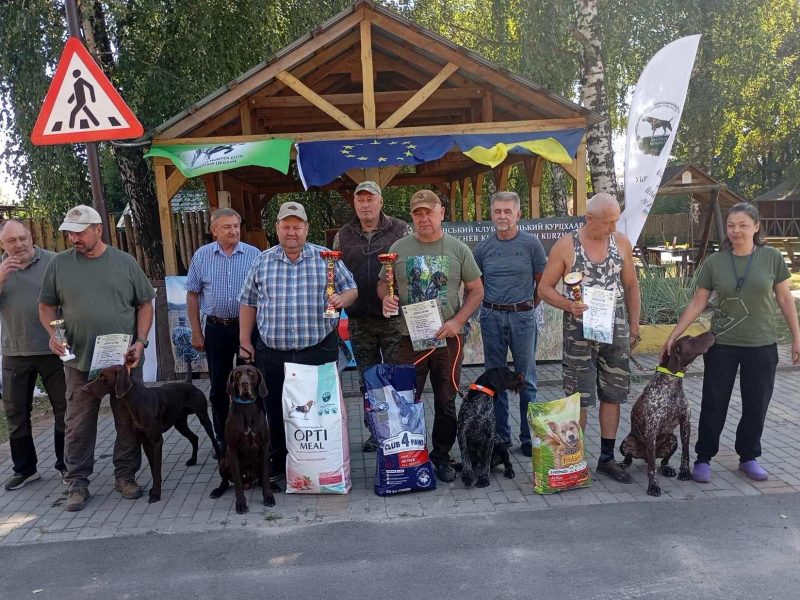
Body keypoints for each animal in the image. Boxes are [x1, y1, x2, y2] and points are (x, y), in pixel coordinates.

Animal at [83, 366, 220, 502]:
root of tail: (189, 383)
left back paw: (219, 457)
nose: (84, 389)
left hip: (203, 417)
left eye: (103, 377)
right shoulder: (145, 442)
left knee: (213, 438)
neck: (138, 401)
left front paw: (156, 494)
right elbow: (153, 468)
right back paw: (193, 460)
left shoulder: (157, 441)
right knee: (194, 438)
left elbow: (157, 469)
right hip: (180, 424)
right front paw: (153, 489)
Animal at [209, 364, 276, 512]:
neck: (247, 406)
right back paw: (217, 491)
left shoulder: (264, 445)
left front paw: (268, 497)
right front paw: (240, 504)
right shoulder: (232, 449)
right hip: (224, 461)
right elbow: (238, 483)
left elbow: (266, 476)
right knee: (226, 481)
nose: (244, 384)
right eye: (237, 374)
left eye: (251, 373)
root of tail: (248, 481)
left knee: (262, 478)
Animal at [620, 330, 720, 494]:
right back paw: (623, 465)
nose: (712, 332)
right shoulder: (652, 428)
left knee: (662, 461)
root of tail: (643, 456)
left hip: (672, 439)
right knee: (634, 458)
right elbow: (652, 468)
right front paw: (653, 486)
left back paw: (667, 469)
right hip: (626, 443)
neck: (672, 381)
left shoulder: (685, 423)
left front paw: (685, 472)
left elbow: (686, 453)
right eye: (691, 339)